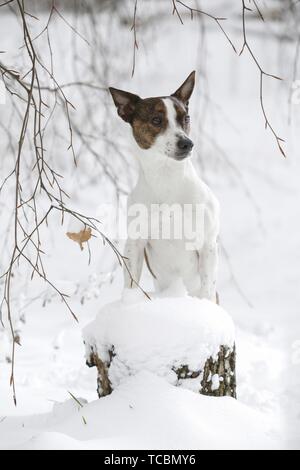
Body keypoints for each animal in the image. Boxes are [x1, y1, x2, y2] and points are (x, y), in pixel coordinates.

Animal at [109, 72, 219, 302]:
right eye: (156, 120)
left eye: (185, 118)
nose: (187, 143)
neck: (166, 177)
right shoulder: (135, 243)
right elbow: (131, 283)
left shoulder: (207, 245)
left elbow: (207, 289)